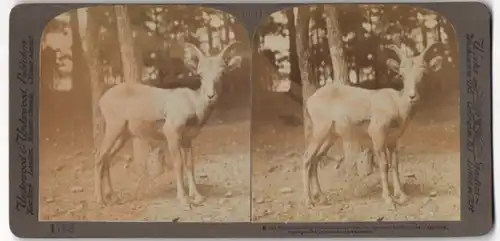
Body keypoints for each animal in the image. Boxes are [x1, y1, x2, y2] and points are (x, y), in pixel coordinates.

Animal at [94, 41, 243, 209]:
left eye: (222, 73)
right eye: (200, 74)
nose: (210, 96)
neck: (193, 106)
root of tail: (101, 101)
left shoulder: (188, 138)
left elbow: (190, 164)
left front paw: (198, 196)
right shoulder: (171, 131)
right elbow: (178, 164)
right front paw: (184, 200)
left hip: (124, 134)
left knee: (107, 158)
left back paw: (114, 197)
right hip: (114, 126)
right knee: (99, 157)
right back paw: (100, 200)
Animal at [302, 41, 444, 207]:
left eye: (423, 73)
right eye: (401, 75)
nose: (412, 96)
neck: (396, 104)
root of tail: (310, 101)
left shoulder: (393, 139)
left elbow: (395, 164)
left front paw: (402, 196)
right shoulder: (377, 132)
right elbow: (383, 164)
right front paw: (389, 199)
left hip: (330, 135)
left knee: (315, 158)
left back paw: (322, 197)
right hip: (320, 129)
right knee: (306, 158)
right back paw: (308, 201)